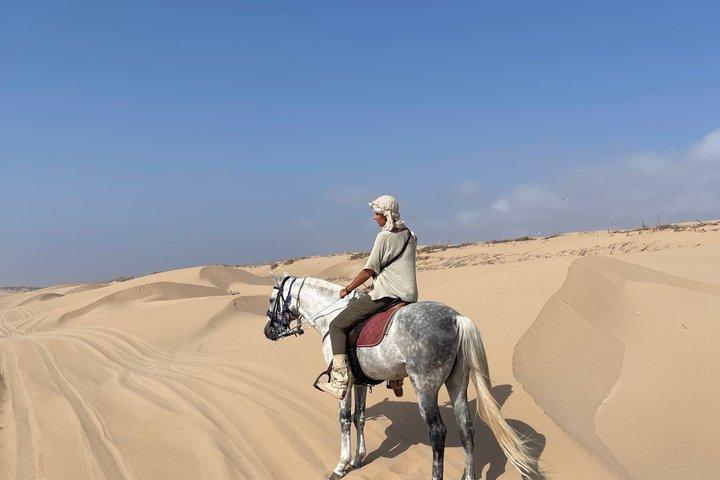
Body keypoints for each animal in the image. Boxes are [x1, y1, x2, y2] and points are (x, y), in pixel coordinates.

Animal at [263, 274, 539, 480]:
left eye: (271, 300)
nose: (268, 332)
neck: (331, 316)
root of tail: (455, 318)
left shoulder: (345, 383)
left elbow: (344, 420)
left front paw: (341, 466)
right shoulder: (360, 382)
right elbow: (359, 418)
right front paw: (359, 459)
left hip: (425, 388)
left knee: (438, 432)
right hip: (457, 384)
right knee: (466, 429)